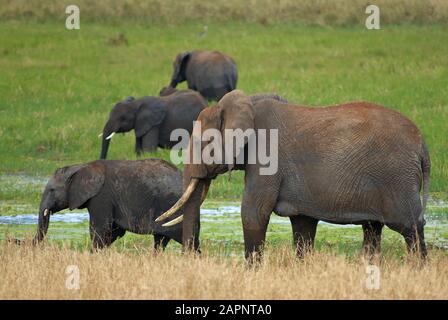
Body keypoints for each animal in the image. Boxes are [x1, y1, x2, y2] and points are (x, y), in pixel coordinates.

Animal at [33, 158, 184, 250]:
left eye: (52, 190)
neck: (82, 167)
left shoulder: (101, 197)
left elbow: (100, 229)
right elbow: (114, 231)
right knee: (160, 241)